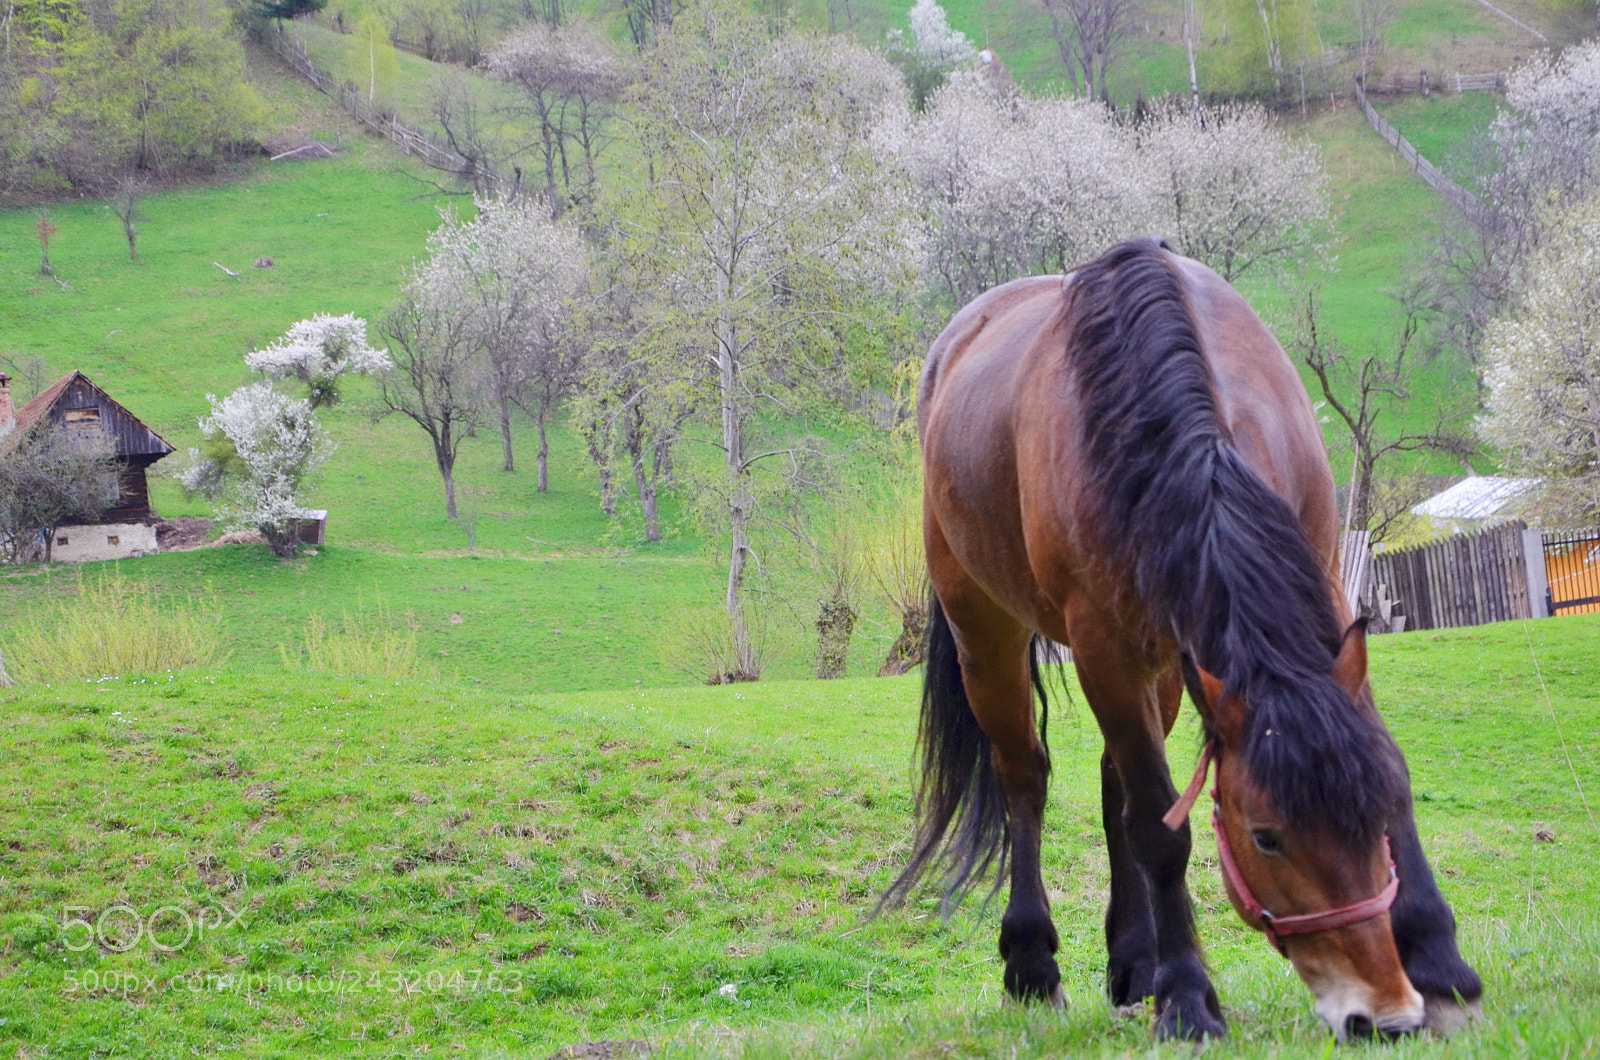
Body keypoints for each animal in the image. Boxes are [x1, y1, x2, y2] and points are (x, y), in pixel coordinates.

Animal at [887, 238, 1482, 1041]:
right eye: (1265, 835)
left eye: (1373, 811)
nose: (1380, 1014)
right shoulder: (1104, 645)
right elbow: (1161, 829)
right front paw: (1189, 999)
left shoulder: (1322, 591)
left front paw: (1440, 962)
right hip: (988, 633)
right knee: (1026, 779)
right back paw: (1034, 965)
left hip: (1170, 665)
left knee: (1113, 783)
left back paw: (1135, 962)